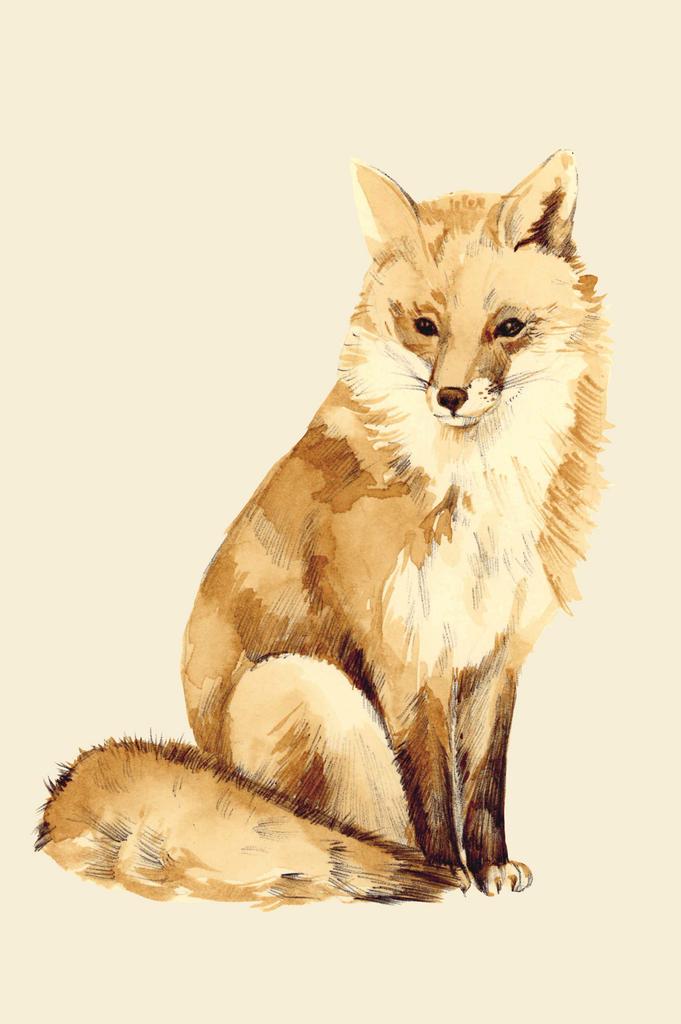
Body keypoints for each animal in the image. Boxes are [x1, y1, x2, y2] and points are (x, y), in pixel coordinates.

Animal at [38, 152, 610, 906]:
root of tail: (211, 764)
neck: (474, 488)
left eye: (508, 326)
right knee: (351, 838)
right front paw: (452, 875)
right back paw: (405, 871)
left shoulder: (495, 653)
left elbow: (484, 785)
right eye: (424, 326)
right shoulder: (404, 653)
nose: (451, 397)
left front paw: (489, 867)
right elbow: (433, 791)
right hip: (306, 688)